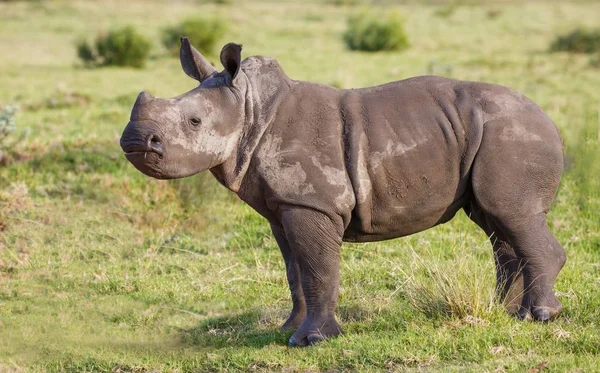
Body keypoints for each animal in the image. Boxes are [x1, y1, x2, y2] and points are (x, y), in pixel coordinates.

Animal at [120, 37, 568, 346]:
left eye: (194, 122)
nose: (134, 140)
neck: (249, 109)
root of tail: (548, 119)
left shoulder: (312, 203)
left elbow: (318, 268)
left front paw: (312, 341)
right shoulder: (284, 206)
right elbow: (295, 271)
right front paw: (287, 330)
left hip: (512, 134)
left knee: (512, 214)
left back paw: (541, 316)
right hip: (491, 134)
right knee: (495, 222)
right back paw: (505, 313)